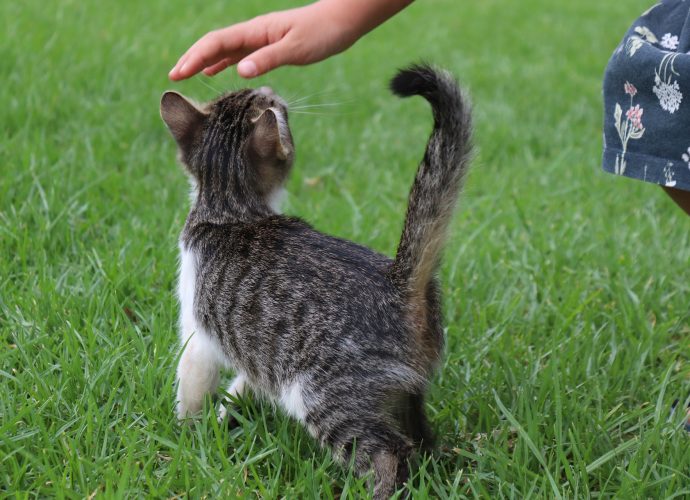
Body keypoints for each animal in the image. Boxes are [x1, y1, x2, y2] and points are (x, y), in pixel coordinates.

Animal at [160, 64, 472, 498]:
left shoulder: (198, 332)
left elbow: (191, 383)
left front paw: (188, 436)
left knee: (390, 453)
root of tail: (399, 283)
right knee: (421, 440)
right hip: (403, 391)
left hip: (323, 395)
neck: (231, 207)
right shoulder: (265, 354)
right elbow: (245, 383)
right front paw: (226, 415)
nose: (268, 85)